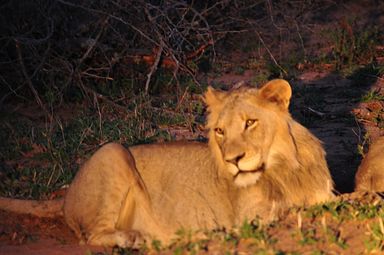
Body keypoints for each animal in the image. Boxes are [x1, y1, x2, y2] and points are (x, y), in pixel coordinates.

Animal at [0, 79, 334, 247]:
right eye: (220, 131)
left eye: (250, 122)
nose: (232, 161)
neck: (284, 168)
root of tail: (65, 196)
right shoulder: (248, 217)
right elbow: (284, 213)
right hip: (113, 151)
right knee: (90, 238)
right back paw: (139, 238)